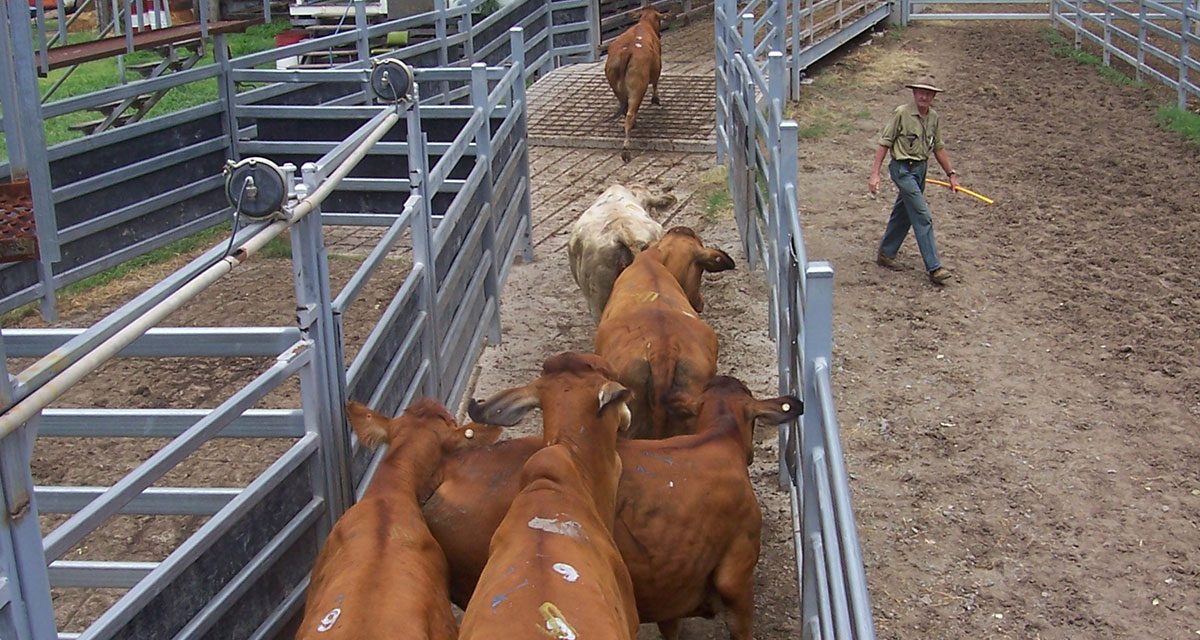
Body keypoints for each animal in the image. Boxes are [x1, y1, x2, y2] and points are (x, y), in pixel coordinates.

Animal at [604, 6, 672, 162]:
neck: (645, 23)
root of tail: (627, 51)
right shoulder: (657, 67)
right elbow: (655, 83)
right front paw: (656, 99)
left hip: (617, 87)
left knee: (625, 109)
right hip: (638, 88)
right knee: (630, 113)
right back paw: (626, 150)